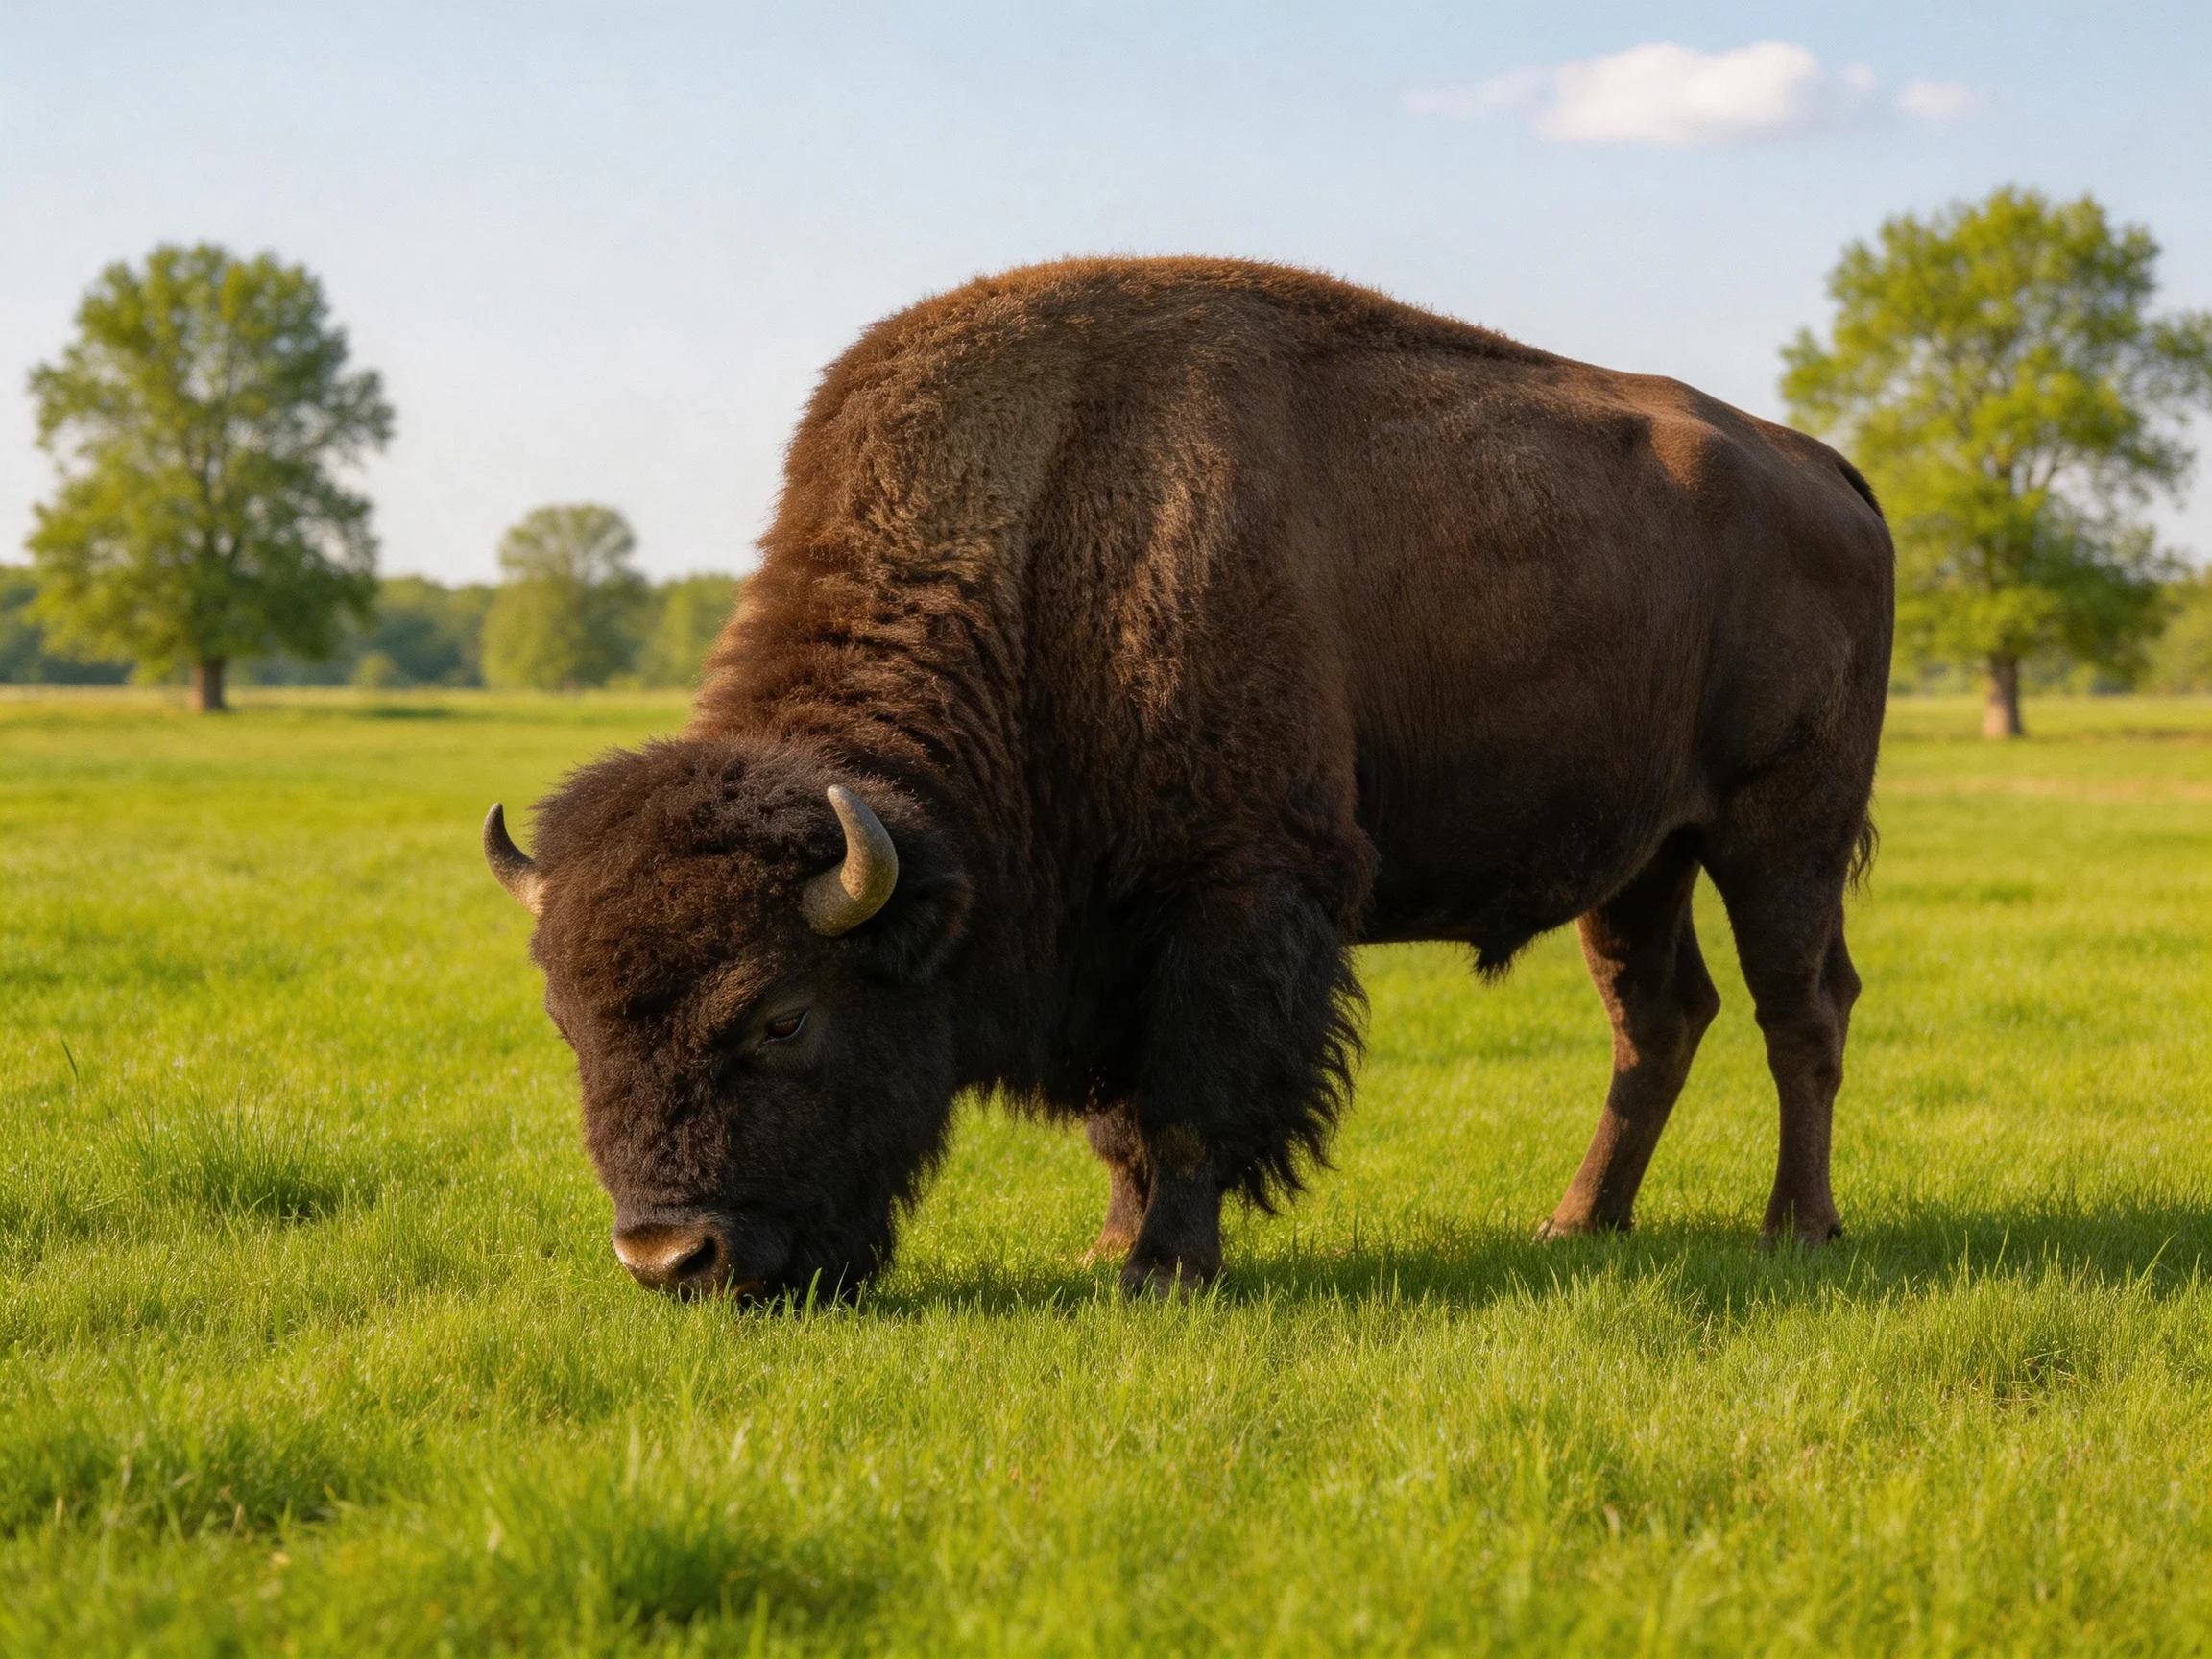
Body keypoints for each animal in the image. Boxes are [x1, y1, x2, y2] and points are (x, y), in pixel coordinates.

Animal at [482, 257, 1892, 1300]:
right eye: (568, 1021)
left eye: (783, 1016)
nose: (670, 1255)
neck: (1044, 543)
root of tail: (1822, 466)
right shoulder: (1104, 935)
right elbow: (1121, 1114)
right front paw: (1106, 1241)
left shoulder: (1233, 890)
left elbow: (1193, 1097)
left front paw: (1163, 1267)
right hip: (1642, 861)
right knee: (1656, 1019)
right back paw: (1577, 1224)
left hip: (1781, 835)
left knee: (1801, 1009)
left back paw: (1796, 1229)